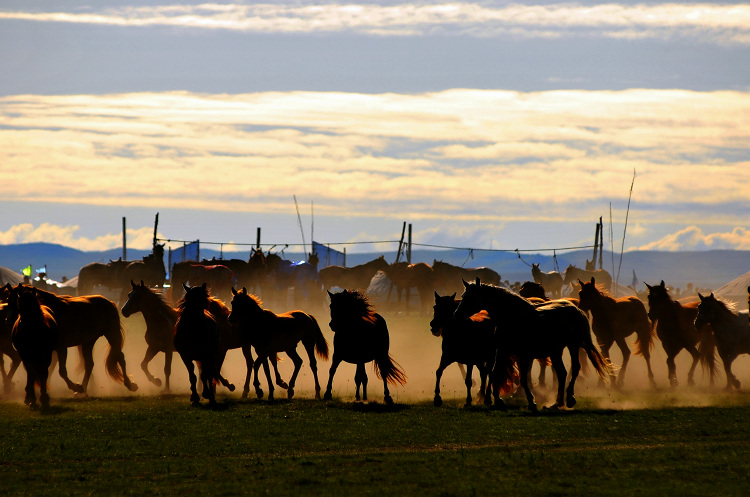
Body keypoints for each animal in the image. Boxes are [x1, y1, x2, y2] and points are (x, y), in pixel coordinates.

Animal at [4, 282, 138, 396]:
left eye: (17, 301)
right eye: (8, 300)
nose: (8, 321)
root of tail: (109, 302)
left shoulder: (61, 348)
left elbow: (62, 371)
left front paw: (74, 386)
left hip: (112, 334)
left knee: (120, 357)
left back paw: (129, 384)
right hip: (88, 342)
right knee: (89, 364)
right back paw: (83, 390)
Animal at [452, 276, 612, 410]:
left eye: (470, 297)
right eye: (463, 296)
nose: (456, 315)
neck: (512, 317)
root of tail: (578, 310)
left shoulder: (522, 355)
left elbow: (523, 378)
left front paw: (531, 401)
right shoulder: (503, 351)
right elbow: (495, 372)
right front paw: (497, 400)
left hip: (573, 345)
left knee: (575, 369)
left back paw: (569, 399)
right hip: (556, 351)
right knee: (562, 373)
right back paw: (556, 403)